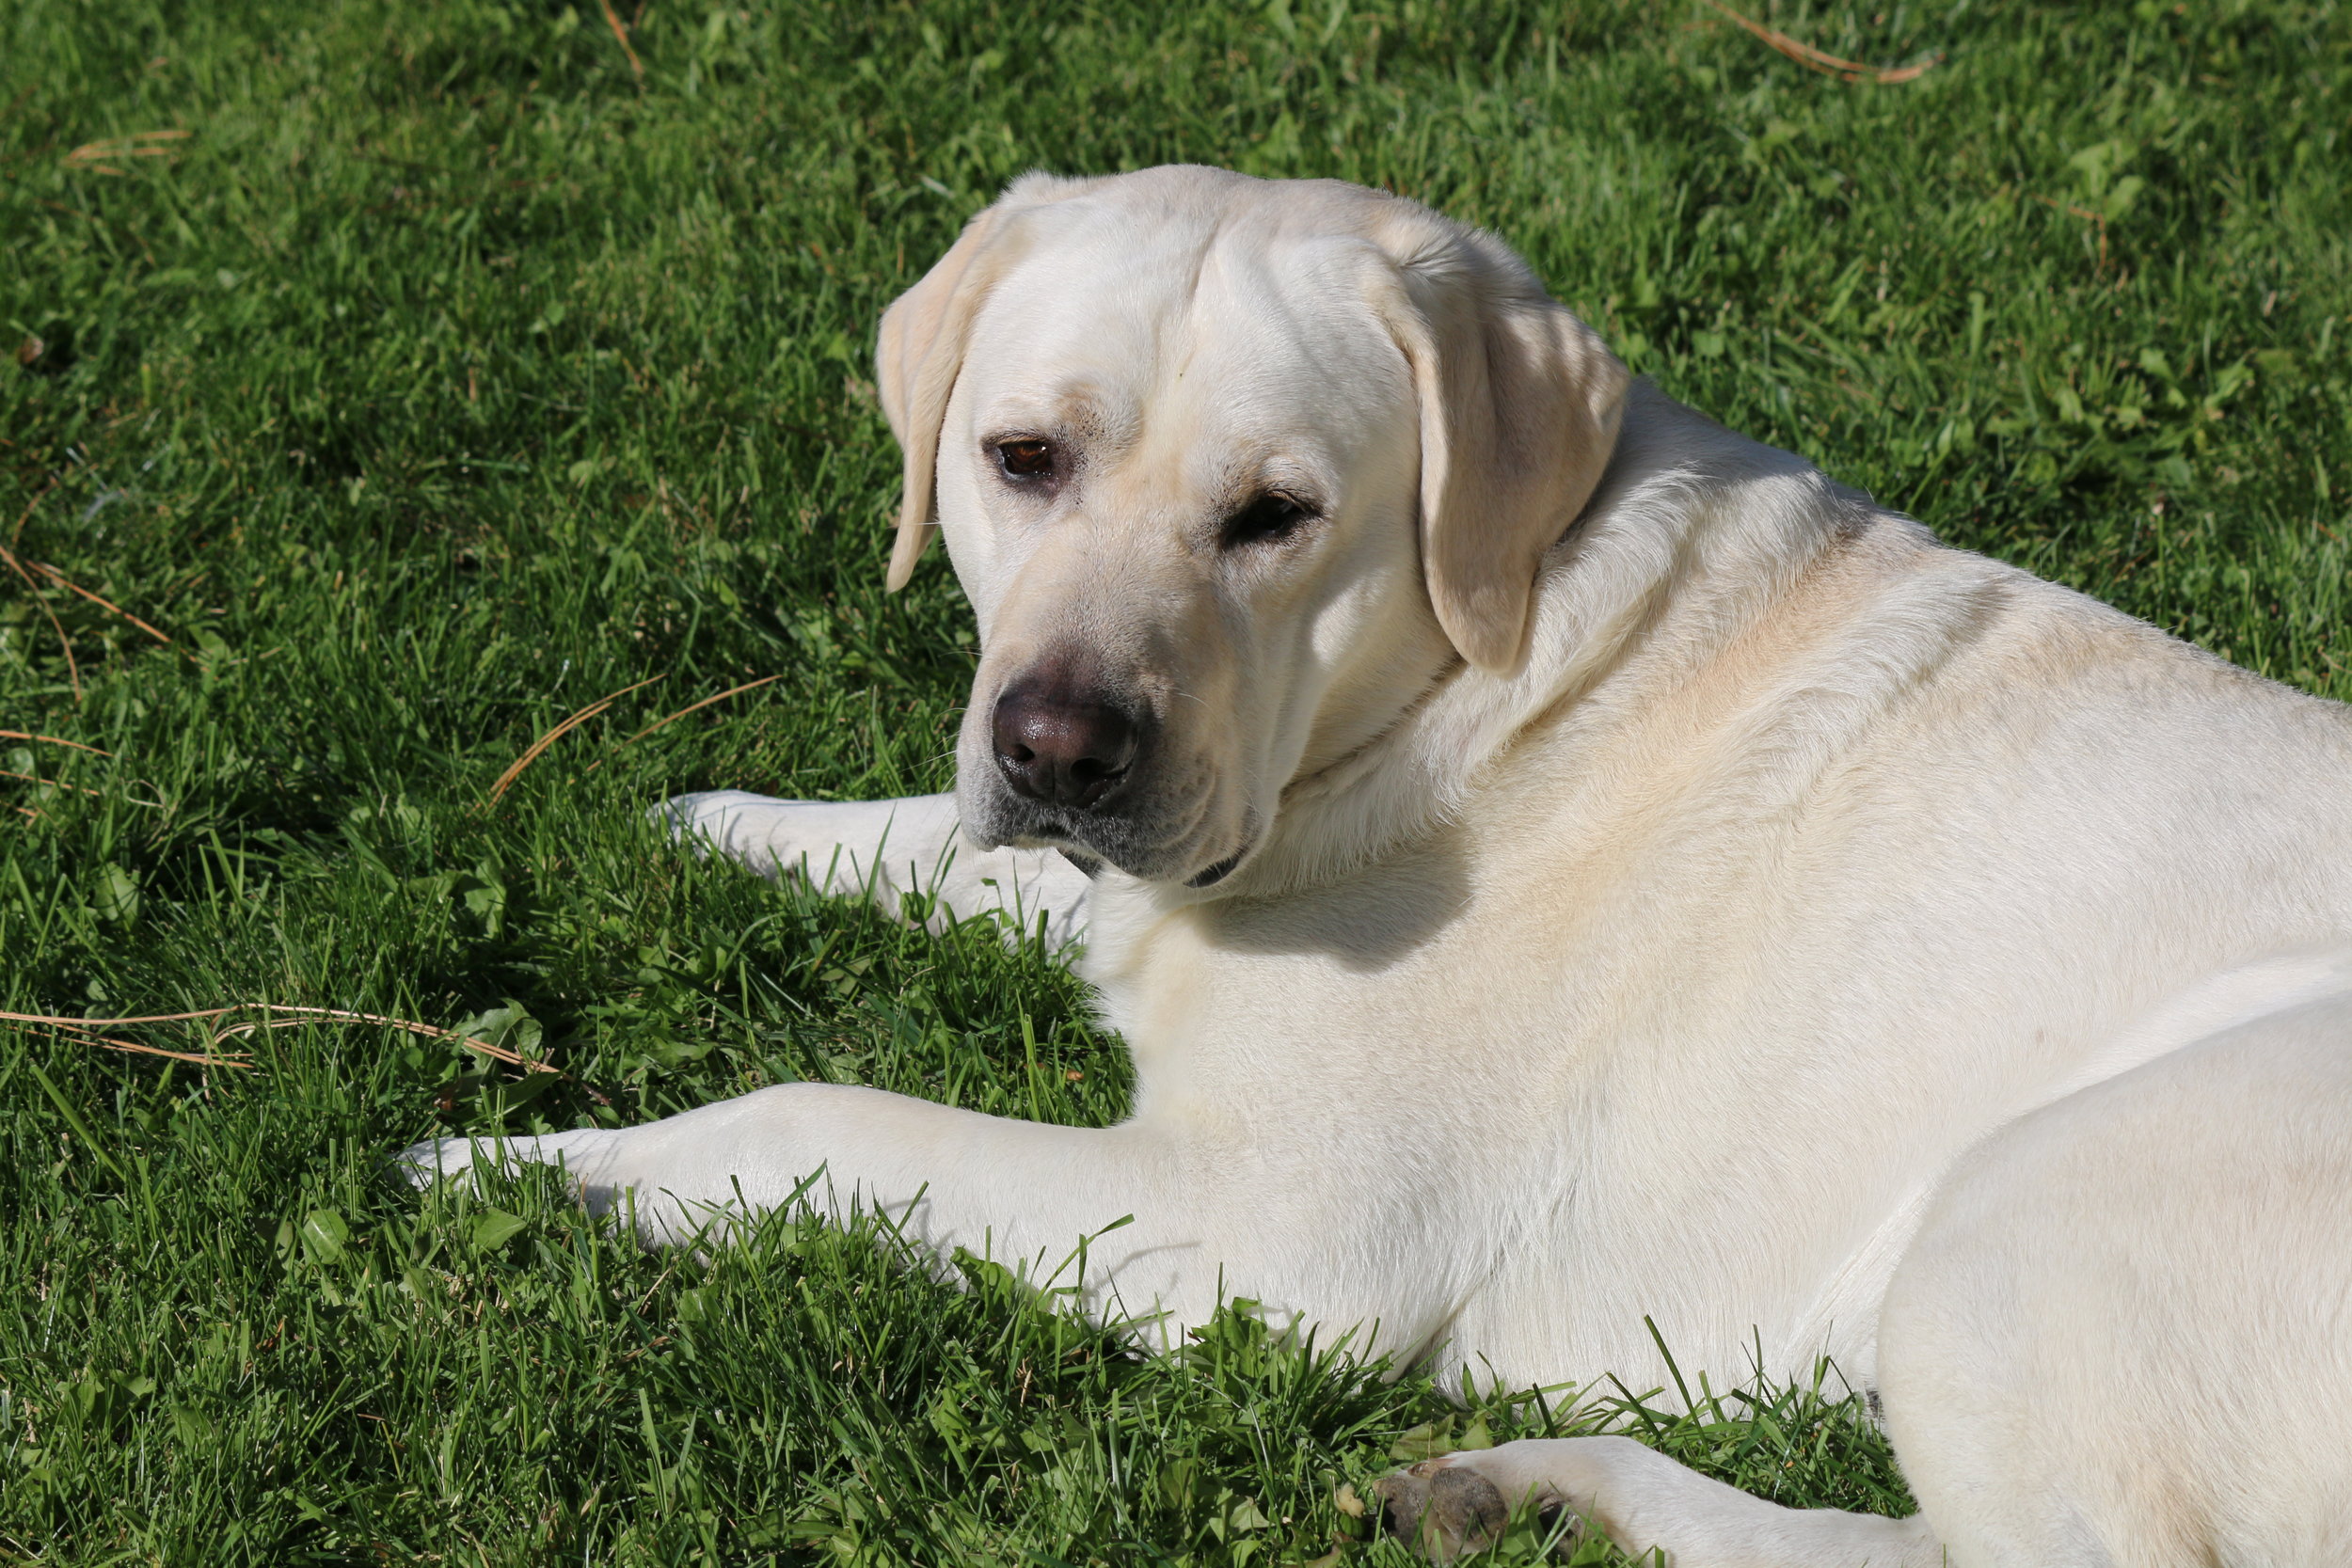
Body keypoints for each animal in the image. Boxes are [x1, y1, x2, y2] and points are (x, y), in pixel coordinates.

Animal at [414, 166, 2352, 1560]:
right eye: (1020, 457)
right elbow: (937, 848)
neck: (1479, 686)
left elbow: (817, 1113)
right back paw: (1538, 1485)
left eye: (1275, 517)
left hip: (2020, 1216)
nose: (1061, 746)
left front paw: (527, 1162)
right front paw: (711, 825)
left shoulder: (1267, 1231)